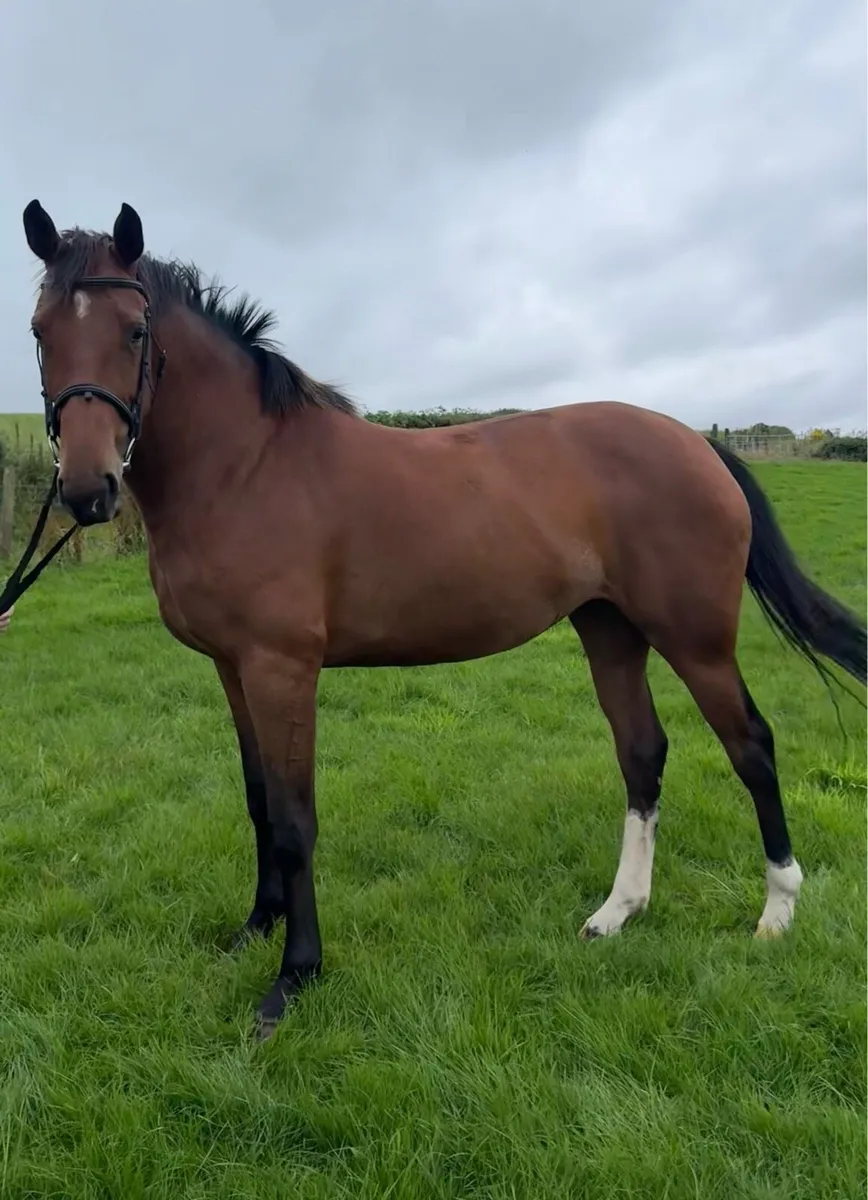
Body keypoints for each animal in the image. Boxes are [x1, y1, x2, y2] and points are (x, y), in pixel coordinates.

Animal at [20, 199, 866, 1040]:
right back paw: (616, 912)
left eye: (135, 329)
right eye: (39, 331)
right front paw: (254, 929)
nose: (88, 489)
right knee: (642, 753)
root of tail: (697, 443)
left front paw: (293, 976)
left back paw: (776, 912)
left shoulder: (280, 668)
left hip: (695, 639)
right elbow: (259, 803)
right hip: (609, 629)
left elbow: (294, 821)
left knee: (751, 746)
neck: (245, 466)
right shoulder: (233, 668)